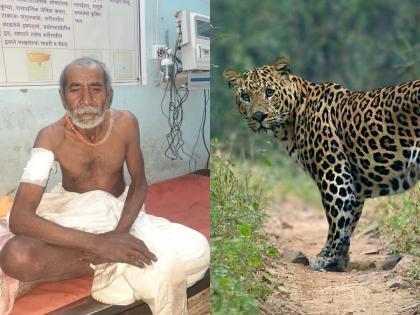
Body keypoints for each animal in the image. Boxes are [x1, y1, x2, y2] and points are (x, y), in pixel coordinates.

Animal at [221, 56, 418, 272]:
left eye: (269, 92)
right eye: (245, 96)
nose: (258, 116)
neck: (292, 120)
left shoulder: (334, 174)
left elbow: (337, 220)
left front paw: (328, 259)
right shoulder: (354, 186)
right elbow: (348, 222)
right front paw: (338, 259)